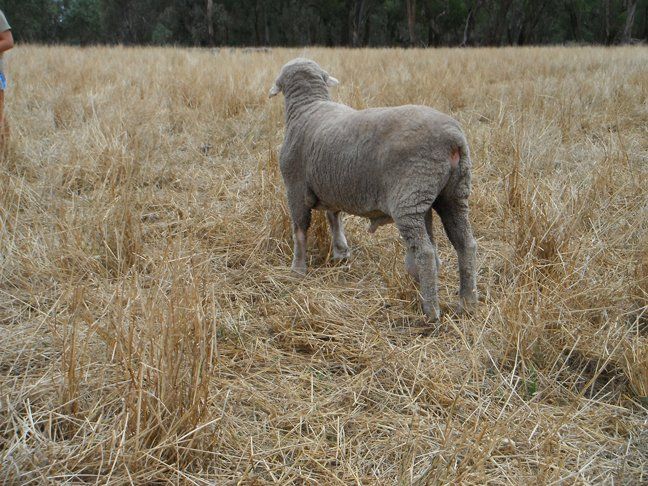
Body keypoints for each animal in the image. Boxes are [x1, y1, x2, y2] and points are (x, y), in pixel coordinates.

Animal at [269, 58, 478, 320]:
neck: (309, 106)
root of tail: (454, 138)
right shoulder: (332, 186)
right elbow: (334, 216)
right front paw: (341, 252)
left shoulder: (295, 187)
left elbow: (299, 231)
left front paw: (297, 269)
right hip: (451, 192)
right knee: (465, 244)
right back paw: (466, 301)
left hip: (409, 198)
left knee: (426, 253)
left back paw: (430, 311)